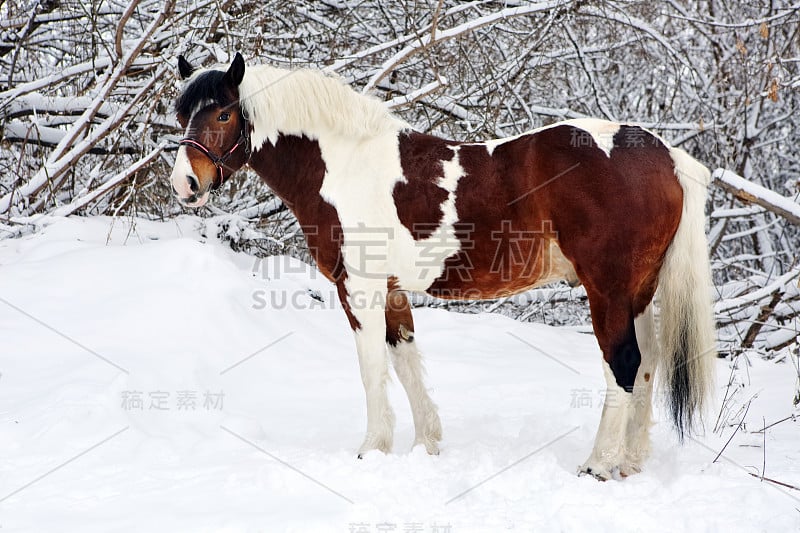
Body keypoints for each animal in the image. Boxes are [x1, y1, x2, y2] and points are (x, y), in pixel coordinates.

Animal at [170, 52, 720, 480]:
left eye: (223, 114)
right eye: (182, 115)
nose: (185, 185)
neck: (343, 164)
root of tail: (667, 157)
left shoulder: (360, 288)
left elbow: (372, 367)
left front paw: (371, 450)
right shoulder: (391, 290)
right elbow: (405, 359)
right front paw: (426, 445)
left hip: (607, 290)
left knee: (622, 363)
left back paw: (599, 464)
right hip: (639, 292)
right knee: (647, 365)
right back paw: (630, 461)